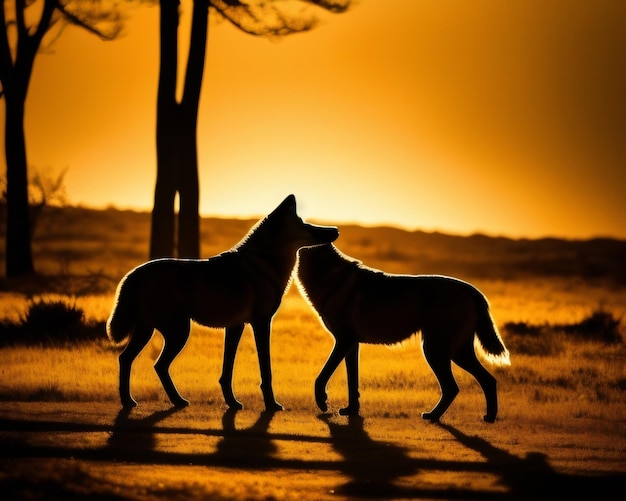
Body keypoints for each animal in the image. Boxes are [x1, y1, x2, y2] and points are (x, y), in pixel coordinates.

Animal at [108, 195, 342, 410]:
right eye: (304, 223)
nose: (336, 229)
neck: (266, 266)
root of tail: (134, 273)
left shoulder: (235, 327)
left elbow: (226, 372)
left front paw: (232, 402)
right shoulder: (261, 323)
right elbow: (266, 371)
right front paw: (271, 404)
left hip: (150, 332)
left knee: (128, 359)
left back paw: (139, 401)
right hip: (178, 333)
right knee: (156, 364)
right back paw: (163, 401)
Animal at [296, 242, 508, 422]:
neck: (330, 275)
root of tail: (474, 291)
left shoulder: (343, 341)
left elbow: (322, 377)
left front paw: (323, 402)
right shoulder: (351, 345)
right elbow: (352, 382)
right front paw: (352, 411)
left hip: (438, 351)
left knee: (456, 386)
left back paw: (437, 416)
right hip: (452, 352)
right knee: (482, 381)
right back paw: (475, 416)